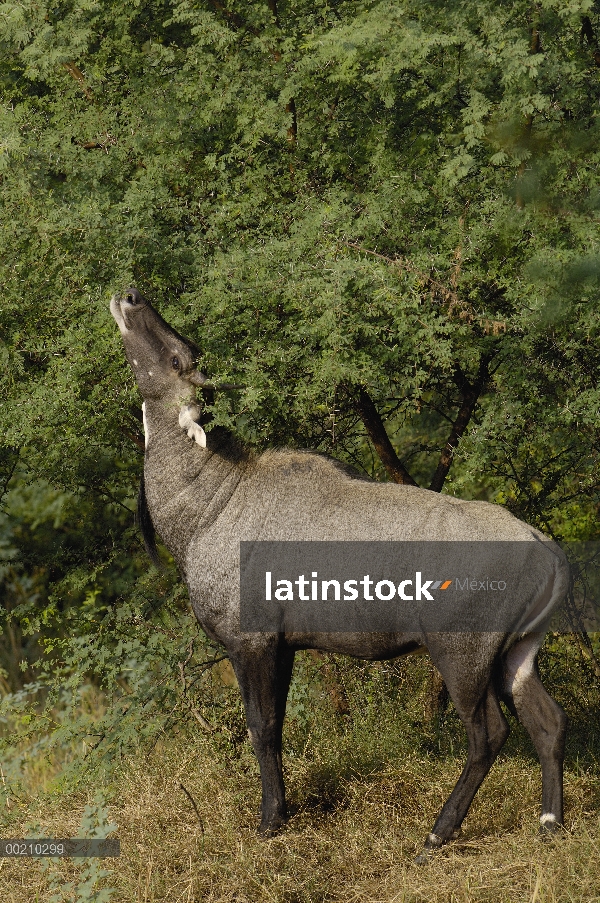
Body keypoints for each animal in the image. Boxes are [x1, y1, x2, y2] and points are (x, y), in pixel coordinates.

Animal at [111, 286, 568, 860]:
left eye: (178, 359)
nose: (130, 296)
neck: (210, 503)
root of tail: (546, 551)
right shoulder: (284, 644)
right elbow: (279, 723)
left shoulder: (251, 641)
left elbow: (261, 727)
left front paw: (270, 821)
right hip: (518, 651)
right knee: (549, 722)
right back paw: (550, 823)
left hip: (461, 652)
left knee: (489, 734)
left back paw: (437, 834)